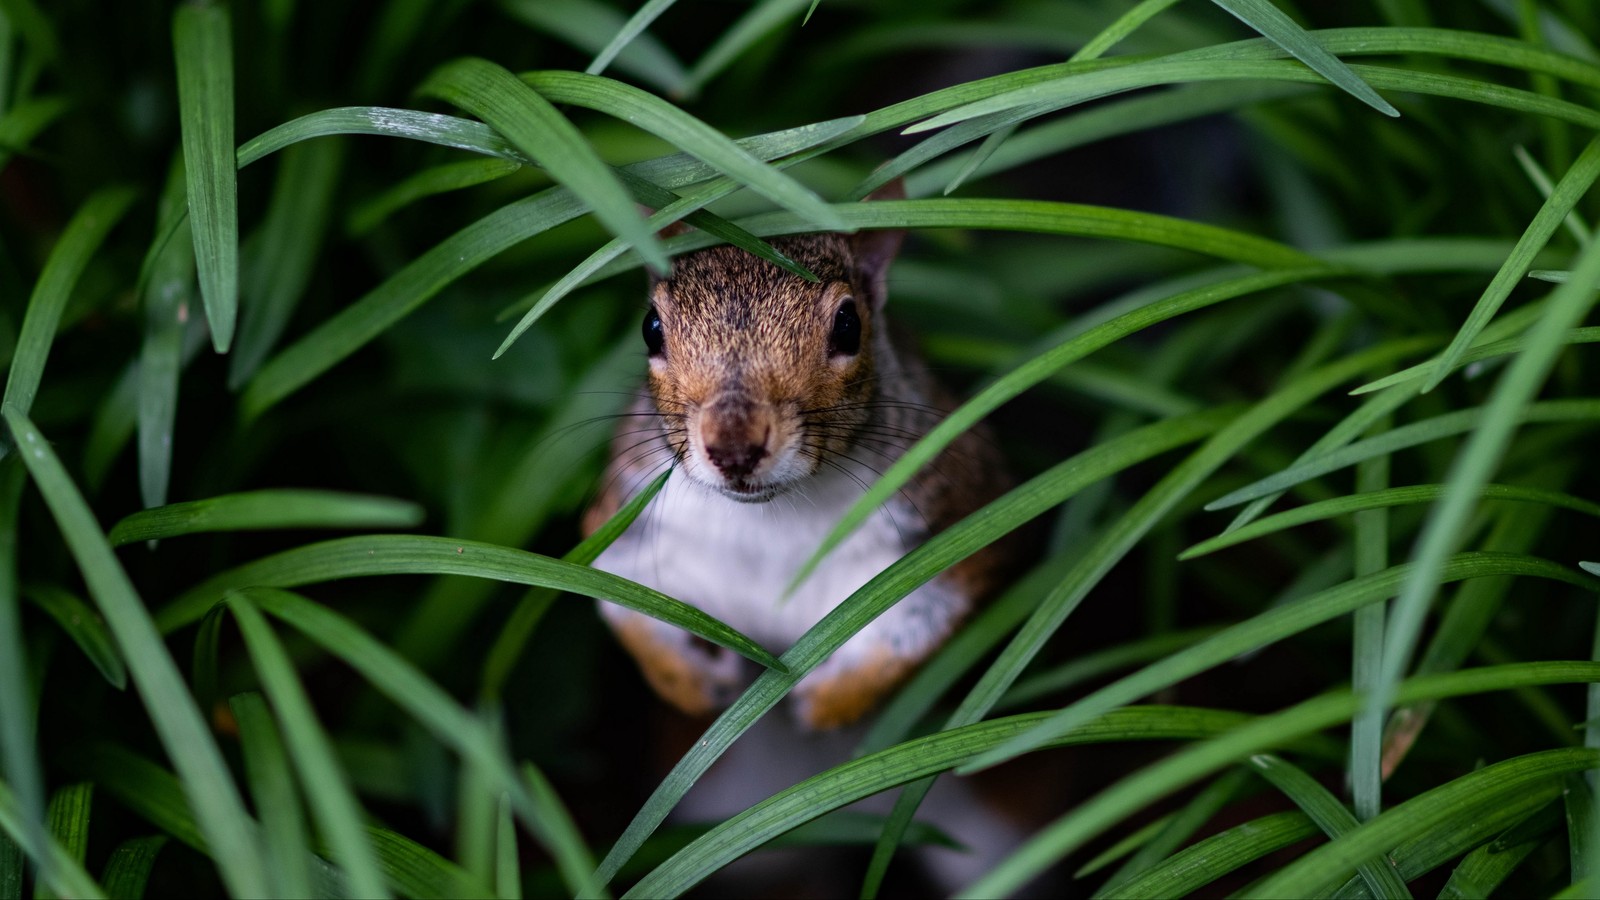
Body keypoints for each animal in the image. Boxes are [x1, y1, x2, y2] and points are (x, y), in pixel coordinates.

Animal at [585, 182, 1011, 730]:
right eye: (650, 327)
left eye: (849, 325)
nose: (734, 447)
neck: (770, 521)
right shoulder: (626, 523)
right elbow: (624, 609)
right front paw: (690, 683)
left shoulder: (957, 521)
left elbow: (915, 636)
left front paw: (829, 700)